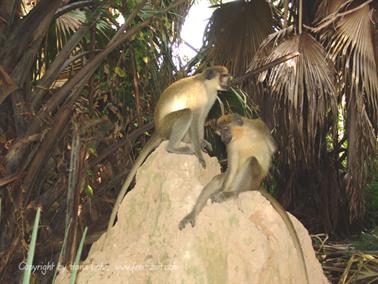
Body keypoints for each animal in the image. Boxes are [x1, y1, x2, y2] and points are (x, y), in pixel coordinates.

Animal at [106, 66, 230, 233]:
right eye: (223, 76)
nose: (228, 82)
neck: (206, 85)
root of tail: (157, 129)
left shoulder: (211, 98)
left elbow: (200, 121)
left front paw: (203, 143)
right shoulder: (199, 96)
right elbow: (195, 121)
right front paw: (199, 153)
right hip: (167, 126)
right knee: (187, 113)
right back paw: (174, 147)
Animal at [179, 113, 308, 284]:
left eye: (225, 129)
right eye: (220, 131)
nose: (223, 137)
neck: (243, 134)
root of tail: (256, 187)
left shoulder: (259, 125)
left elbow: (273, 148)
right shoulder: (231, 146)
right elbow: (232, 167)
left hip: (250, 183)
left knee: (251, 162)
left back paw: (231, 194)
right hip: (234, 181)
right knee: (219, 180)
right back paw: (197, 211)